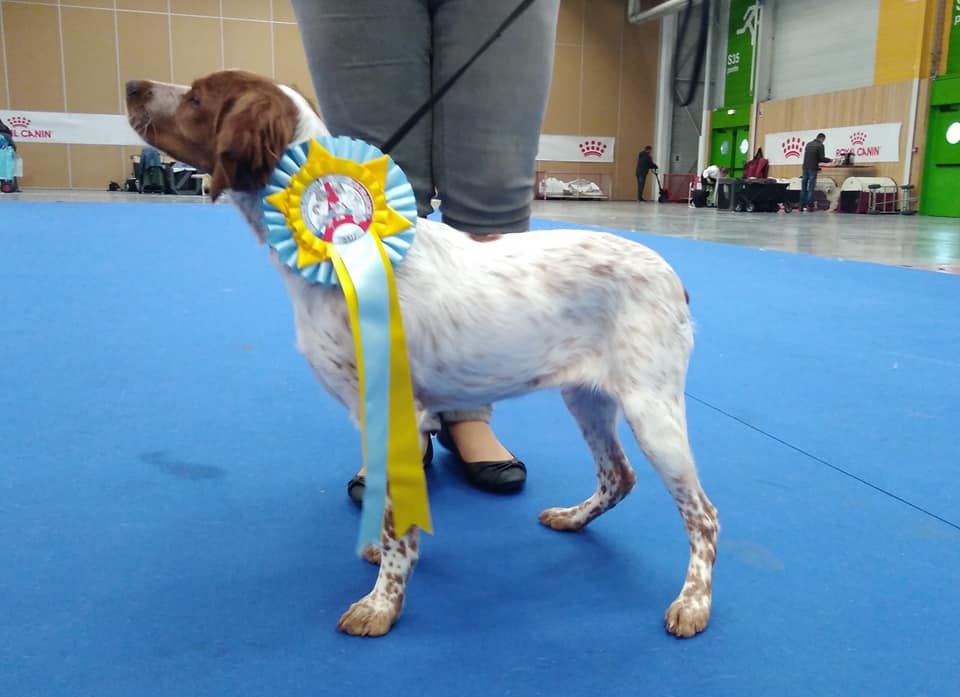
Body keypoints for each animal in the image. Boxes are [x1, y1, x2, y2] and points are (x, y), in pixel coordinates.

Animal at [124, 69, 716, 636]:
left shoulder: (393, 410)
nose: (132, 86)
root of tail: (675, 278)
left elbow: (397, 526)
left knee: (703, 516)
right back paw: (573, 518)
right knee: (619, 476)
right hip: (587, 397)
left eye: (197, 98)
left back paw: (693, 603)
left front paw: (381, 604)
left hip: (652, 410)